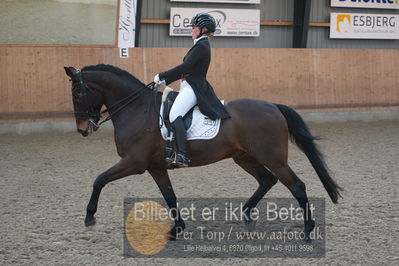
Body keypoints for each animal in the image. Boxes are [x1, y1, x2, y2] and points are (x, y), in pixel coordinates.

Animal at [64, 63, 342, 240]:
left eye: (78, 93)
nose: (82, 130)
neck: (137, 109)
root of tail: (273, 106)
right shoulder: (155, 167)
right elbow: (169, 196)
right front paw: (177, 229)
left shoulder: (134, 162)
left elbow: (99, 179)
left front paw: (89, 217)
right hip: (245, 156)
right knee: (267, 179)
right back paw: (247, 215)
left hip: (272, 156)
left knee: (296, 185)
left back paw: (307, 230)